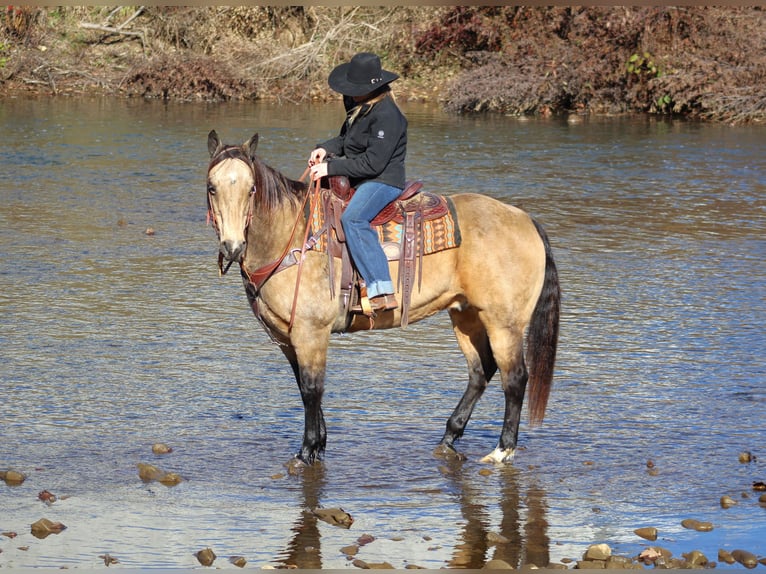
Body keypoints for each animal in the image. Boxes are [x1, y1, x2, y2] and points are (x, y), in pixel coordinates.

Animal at [207, 130, 560, 468]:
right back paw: (448, 439)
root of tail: (526, 221)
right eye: (212, 187)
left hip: (504, 323)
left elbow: (311, 389)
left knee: (515, 378)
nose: (233, 246)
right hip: (466, 315)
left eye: (251, 189)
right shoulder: (288, 336)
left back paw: (502, 450)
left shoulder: (311, 332)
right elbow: (304, 385)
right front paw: (319, 445)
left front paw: (307, 451)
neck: (292, 237)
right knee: (480, 371)